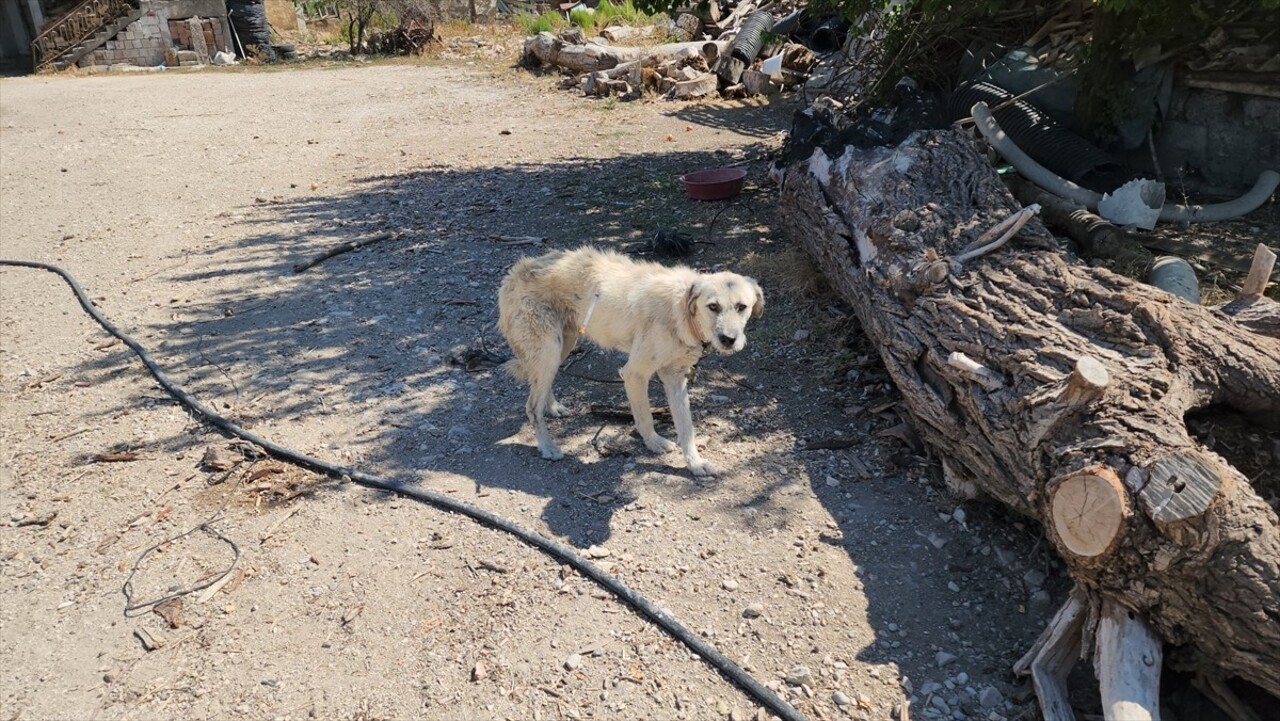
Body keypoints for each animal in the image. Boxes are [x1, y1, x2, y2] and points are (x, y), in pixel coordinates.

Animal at [496, 245, 757, 476]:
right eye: (713, 306)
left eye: (742, 307)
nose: (728, 339)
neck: (681, 309)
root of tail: (515, 272)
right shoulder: (635, 374)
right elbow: (645, 418)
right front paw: (654, 443)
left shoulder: (675, 378)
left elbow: (686, 428)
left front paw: (695, 463)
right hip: (549, 350)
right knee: (532, 405)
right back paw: (547, 446)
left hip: (562, 346)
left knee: (540, 383)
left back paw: (552, 407)